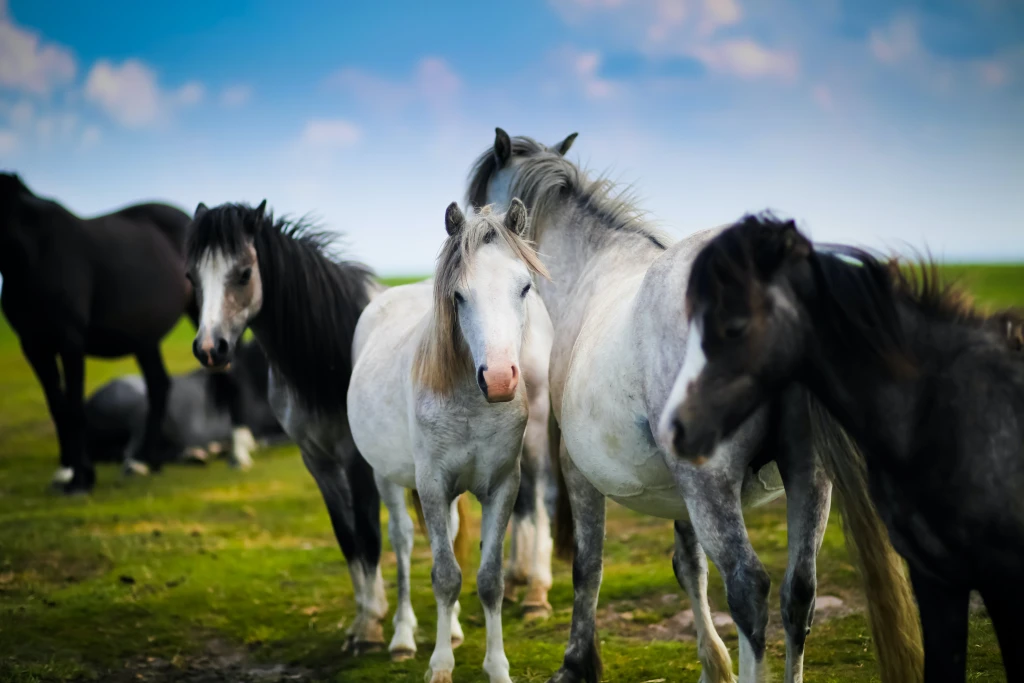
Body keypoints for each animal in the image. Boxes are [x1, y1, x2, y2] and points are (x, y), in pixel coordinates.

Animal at [0, 171, 193, 491]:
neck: (36, 254)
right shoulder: (33, 344)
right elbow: (58, 407)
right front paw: (66, 471)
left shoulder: (70, 340)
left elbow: (75, 408)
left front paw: (80, 479)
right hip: (144, 339)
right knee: (159, 385)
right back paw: (145, 461)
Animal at [348, 200, 552, 683]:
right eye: (459, 296)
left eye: (524, 287)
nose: (499, 380)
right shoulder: (432, 487)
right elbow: (444, 576)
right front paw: (440, 666)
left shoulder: (502, 487)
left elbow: (489, 579)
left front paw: (497, 667)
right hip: (387, 478)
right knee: (403, 543)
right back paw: (403, 637)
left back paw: (454, 629)